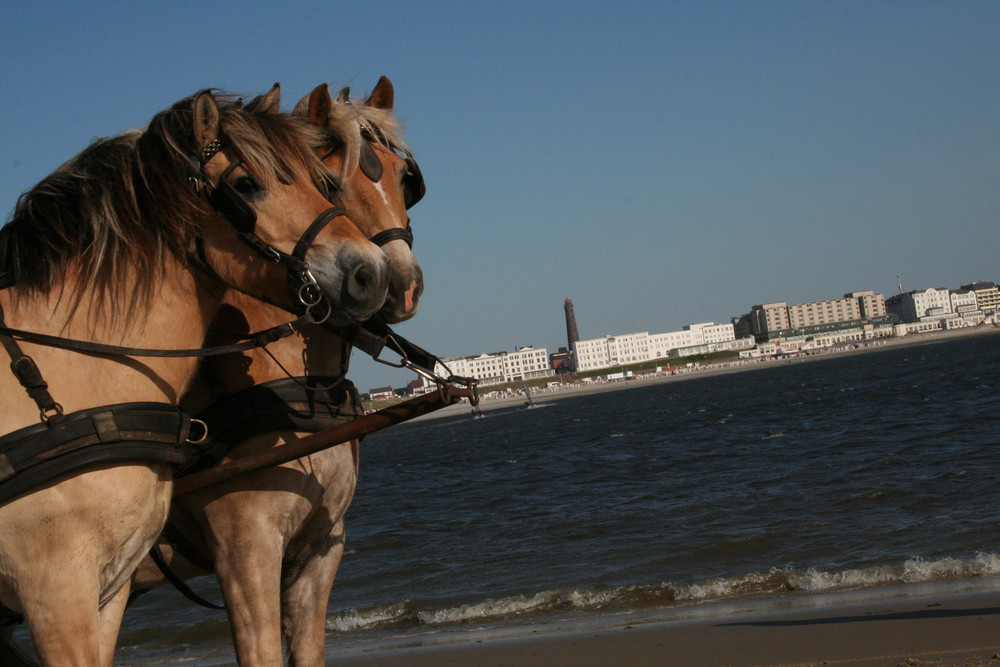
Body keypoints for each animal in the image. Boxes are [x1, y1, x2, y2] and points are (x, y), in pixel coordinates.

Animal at [128, 75, 422, 664]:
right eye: (329, 182)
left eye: (406, 179)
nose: (394, 283)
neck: (298, 390)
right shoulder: (246, 556)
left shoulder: (321, 549)